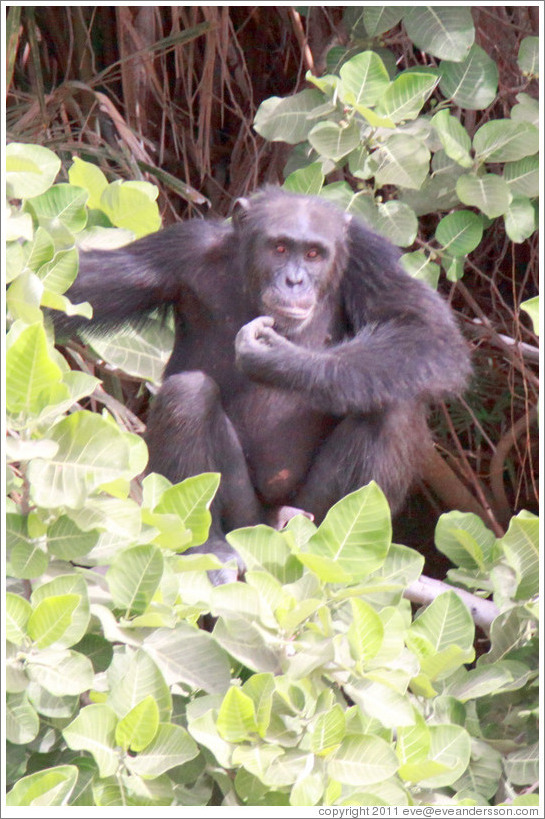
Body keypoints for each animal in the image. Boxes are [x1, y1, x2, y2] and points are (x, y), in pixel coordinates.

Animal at [56, 188, 472, 580]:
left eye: (314, 254)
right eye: (280, 247)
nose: (294, 280)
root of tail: (271, 524)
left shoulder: (372, 259)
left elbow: (426, 332)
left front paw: (280, 360)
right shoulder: (177, 249)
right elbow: (77, 288)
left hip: (308, 511)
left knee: (390, 407)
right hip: (244, 517)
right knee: (188, 395)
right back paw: (208, 547)